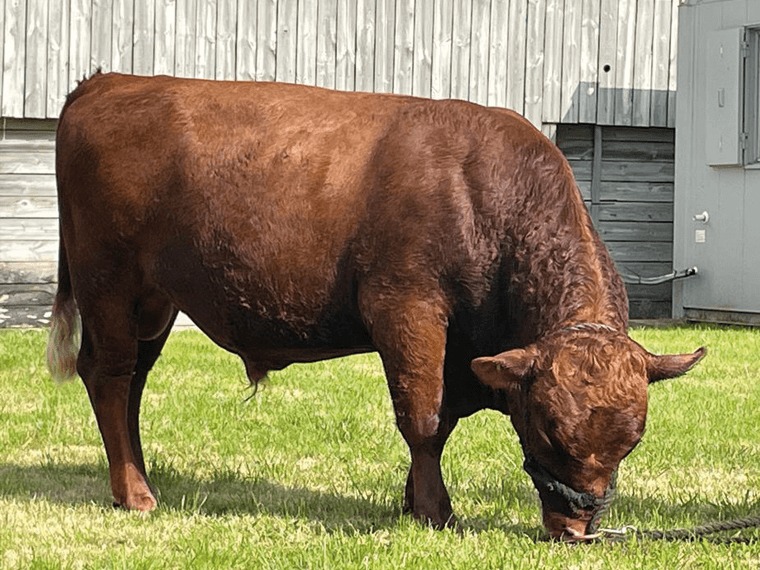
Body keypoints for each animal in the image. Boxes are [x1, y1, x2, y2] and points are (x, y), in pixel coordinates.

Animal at [47, 73, 704, 540]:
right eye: (548, 429)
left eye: (632, 442)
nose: (576, 529)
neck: (483, 203)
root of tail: (106, 82)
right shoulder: (405, 306)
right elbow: (423, 415)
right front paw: (435, 512)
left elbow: (440, 421)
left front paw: (414, 502)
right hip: (109, 283)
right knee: (108, 377)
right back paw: (136, 494)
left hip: (154, 302)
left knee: (132, 383)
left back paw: (133, 481)